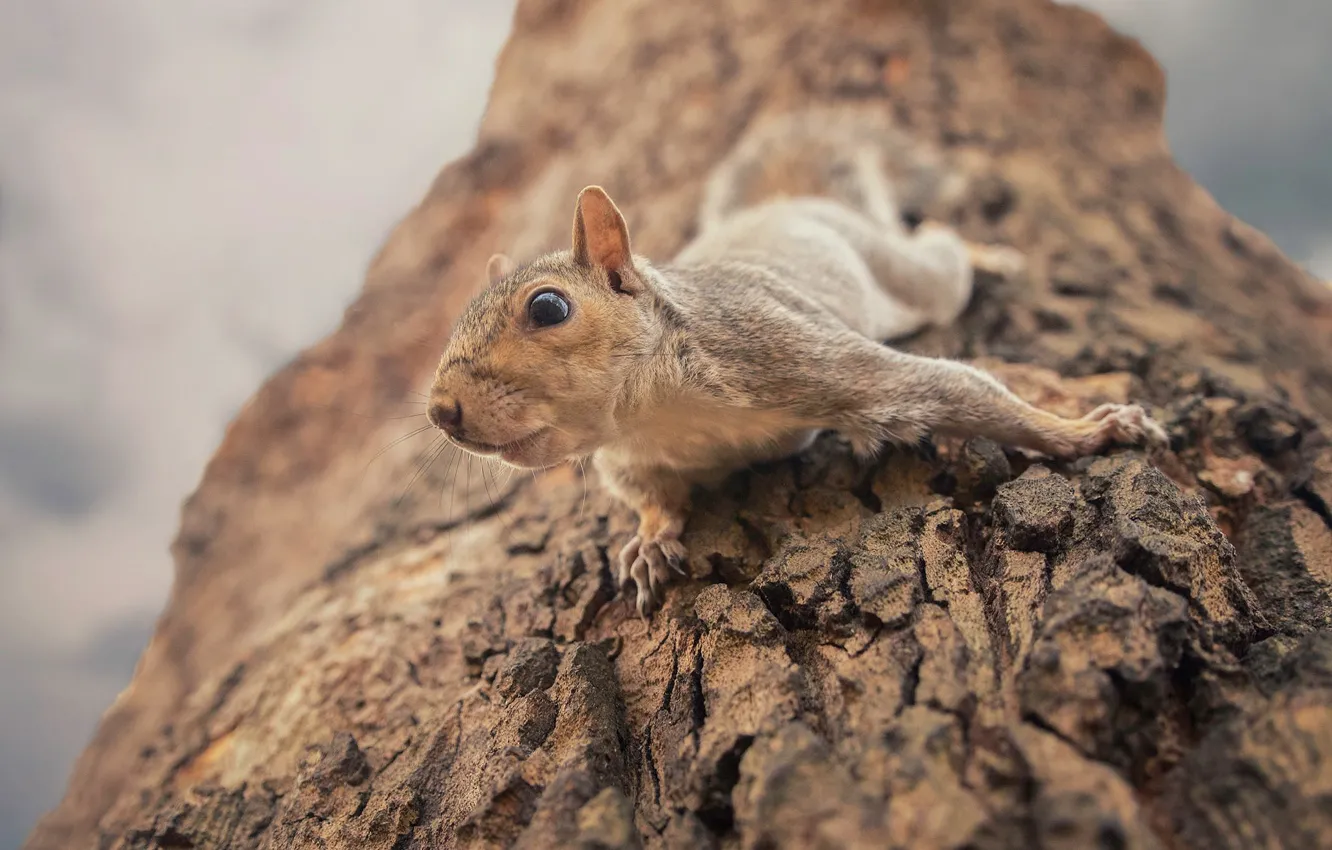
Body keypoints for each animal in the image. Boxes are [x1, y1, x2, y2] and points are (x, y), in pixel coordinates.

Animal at [426, 107, 1166, 618]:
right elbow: (651, 498)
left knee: (938, 246)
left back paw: (990, 257)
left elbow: (945, 385)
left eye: (548, 307)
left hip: (907, 275)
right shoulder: (628, 458)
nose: (441, 411)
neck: (655, 413)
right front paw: (649, 541)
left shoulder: (792, 354)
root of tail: (792, 204)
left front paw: (1088, 431)